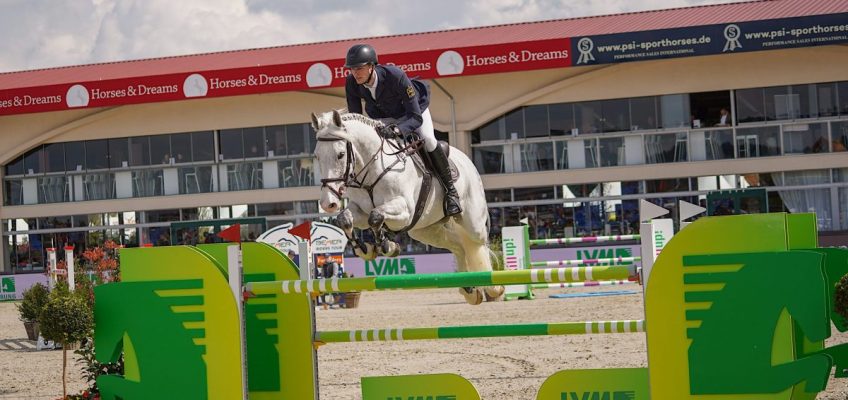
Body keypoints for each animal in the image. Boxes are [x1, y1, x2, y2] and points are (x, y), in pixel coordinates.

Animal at [312, 109, 500, 304]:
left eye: (341, 154)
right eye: (316, 156)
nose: (328, 203)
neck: (373, 168)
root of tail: (467, 161)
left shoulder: (405, 212)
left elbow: (376, 216)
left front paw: (387, 246)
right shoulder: (360, 211)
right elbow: (346, 219)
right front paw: (366, 249)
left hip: (472, 222)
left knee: (479, 245)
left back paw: (493, 288)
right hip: (424, 230)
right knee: (459, 246)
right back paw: (470, 290)